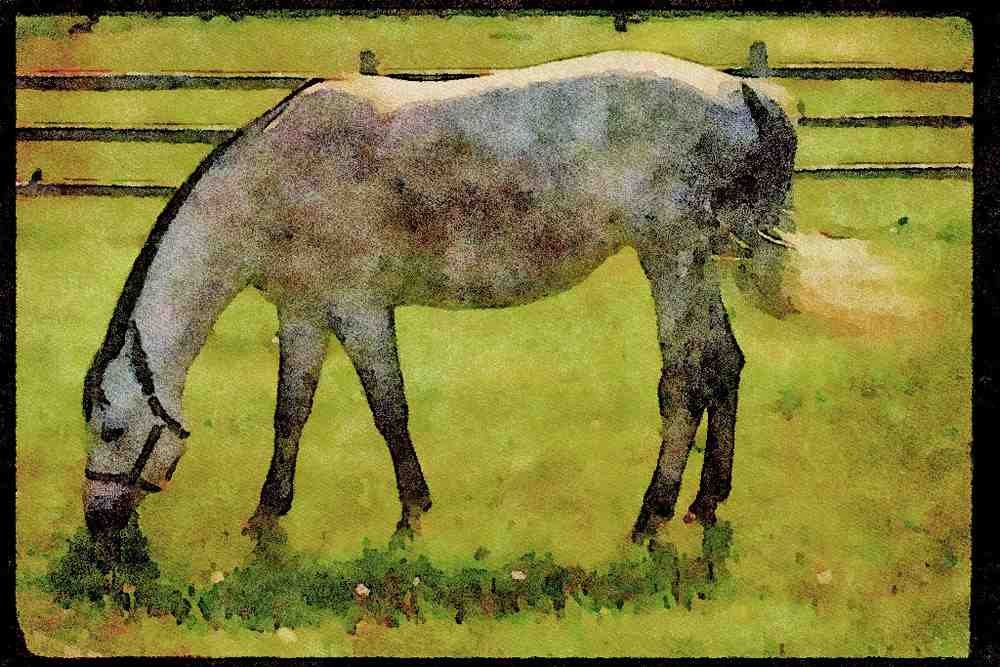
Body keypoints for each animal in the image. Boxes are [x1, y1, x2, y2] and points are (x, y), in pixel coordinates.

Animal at [81, 51, 797, 547]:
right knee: (724, 365)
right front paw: (266, 516)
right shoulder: (304, 311)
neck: (279, 174)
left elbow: (389, 410)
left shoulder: (359, 309)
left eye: (112, 429)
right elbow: (290, 414)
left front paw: (412, 516)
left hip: (671, 259)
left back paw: (651, 517)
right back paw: (706, 504)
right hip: (697, 263)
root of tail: (743, 91)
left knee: (683, 384)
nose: (97, 524)